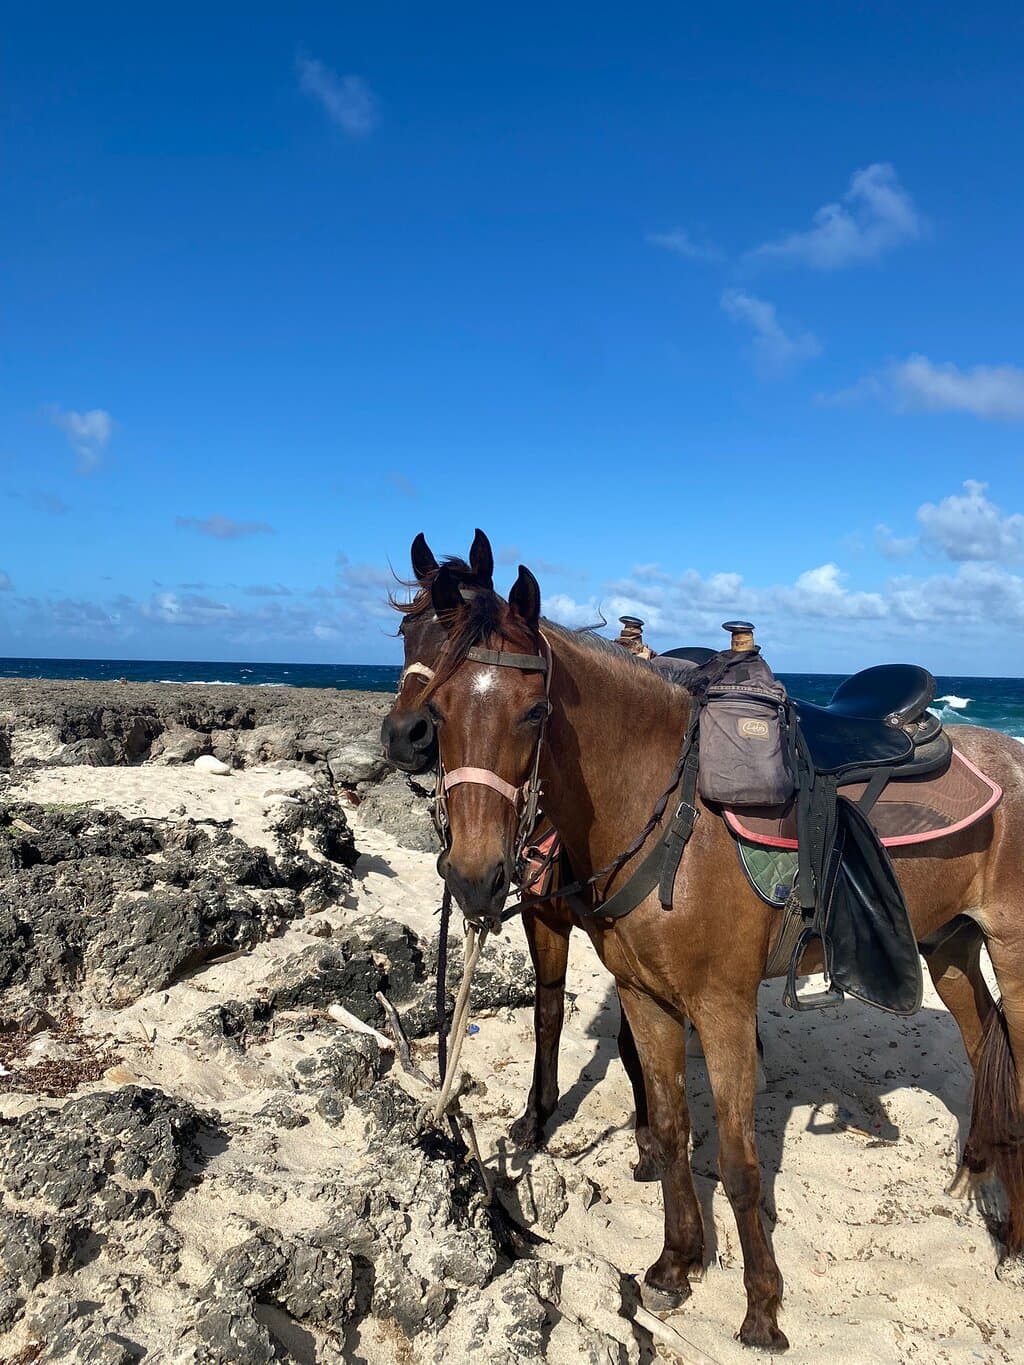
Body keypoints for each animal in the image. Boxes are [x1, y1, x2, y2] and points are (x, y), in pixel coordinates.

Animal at [380, 530, 656, 1169]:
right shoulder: (541, 917)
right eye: (408, 630)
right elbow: (547, 1011)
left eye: (537, 712)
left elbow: (635, 1033)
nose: (405, 735)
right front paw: (537, 1115)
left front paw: (649, 1131)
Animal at [413, 554, 1024, 1352]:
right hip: (948, 944)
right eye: (440, 708)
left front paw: (761, 1308)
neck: (666, 807)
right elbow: (673, 1131)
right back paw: (991, 1195)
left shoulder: (723, 1007)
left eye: (536, 712)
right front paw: (676, 1262)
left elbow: (739, 1163)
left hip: (1012, 950)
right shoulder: (646, 998)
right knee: (985, 1042)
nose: (474, 875)